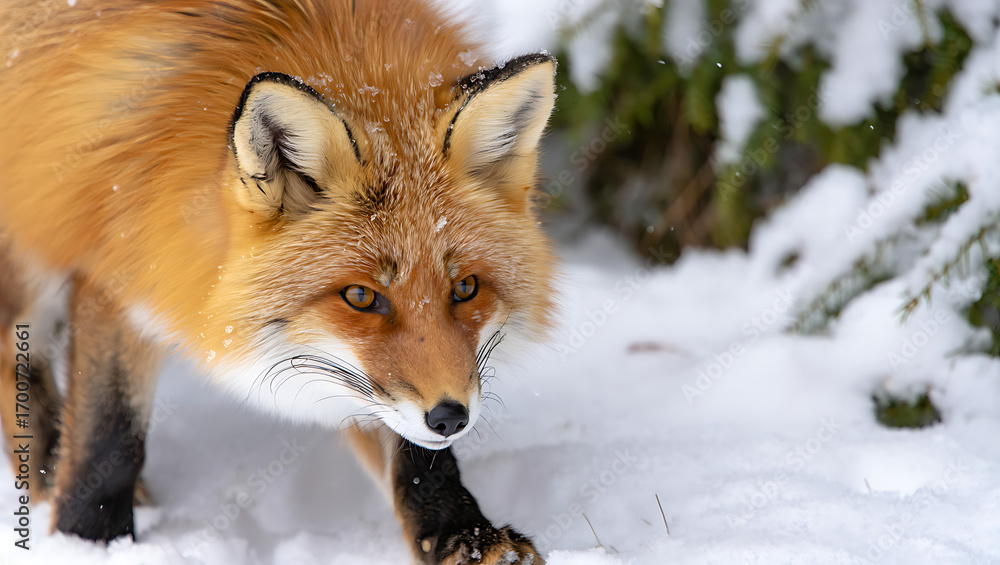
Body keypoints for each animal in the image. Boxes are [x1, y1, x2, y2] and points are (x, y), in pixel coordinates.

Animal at [0, 0, 558, 562]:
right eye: (361, 296)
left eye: (465, 288)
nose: (450, 419)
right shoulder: (112, 268)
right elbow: (109, 441)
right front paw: (90, 541)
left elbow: (415, 457)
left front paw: (464, 536)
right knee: (13, 352)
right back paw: (47, 465)